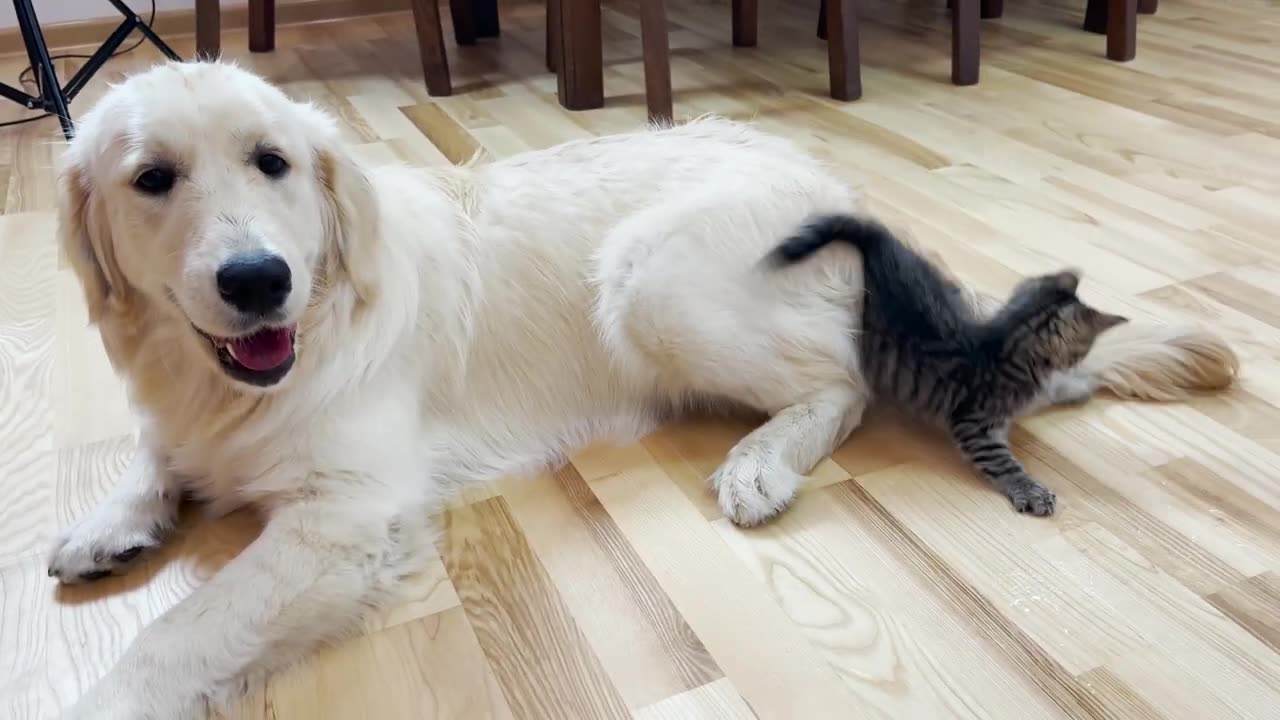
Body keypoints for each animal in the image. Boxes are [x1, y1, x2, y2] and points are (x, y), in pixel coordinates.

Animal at [762, 210, 1126, 512]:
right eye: (1083, 348)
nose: (1077, 362)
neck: (1005, 340)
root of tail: (879, 240)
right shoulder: (975, 426)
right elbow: (1004, 463)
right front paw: (1030, 490)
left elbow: (1050, 389)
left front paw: (1076, 386)